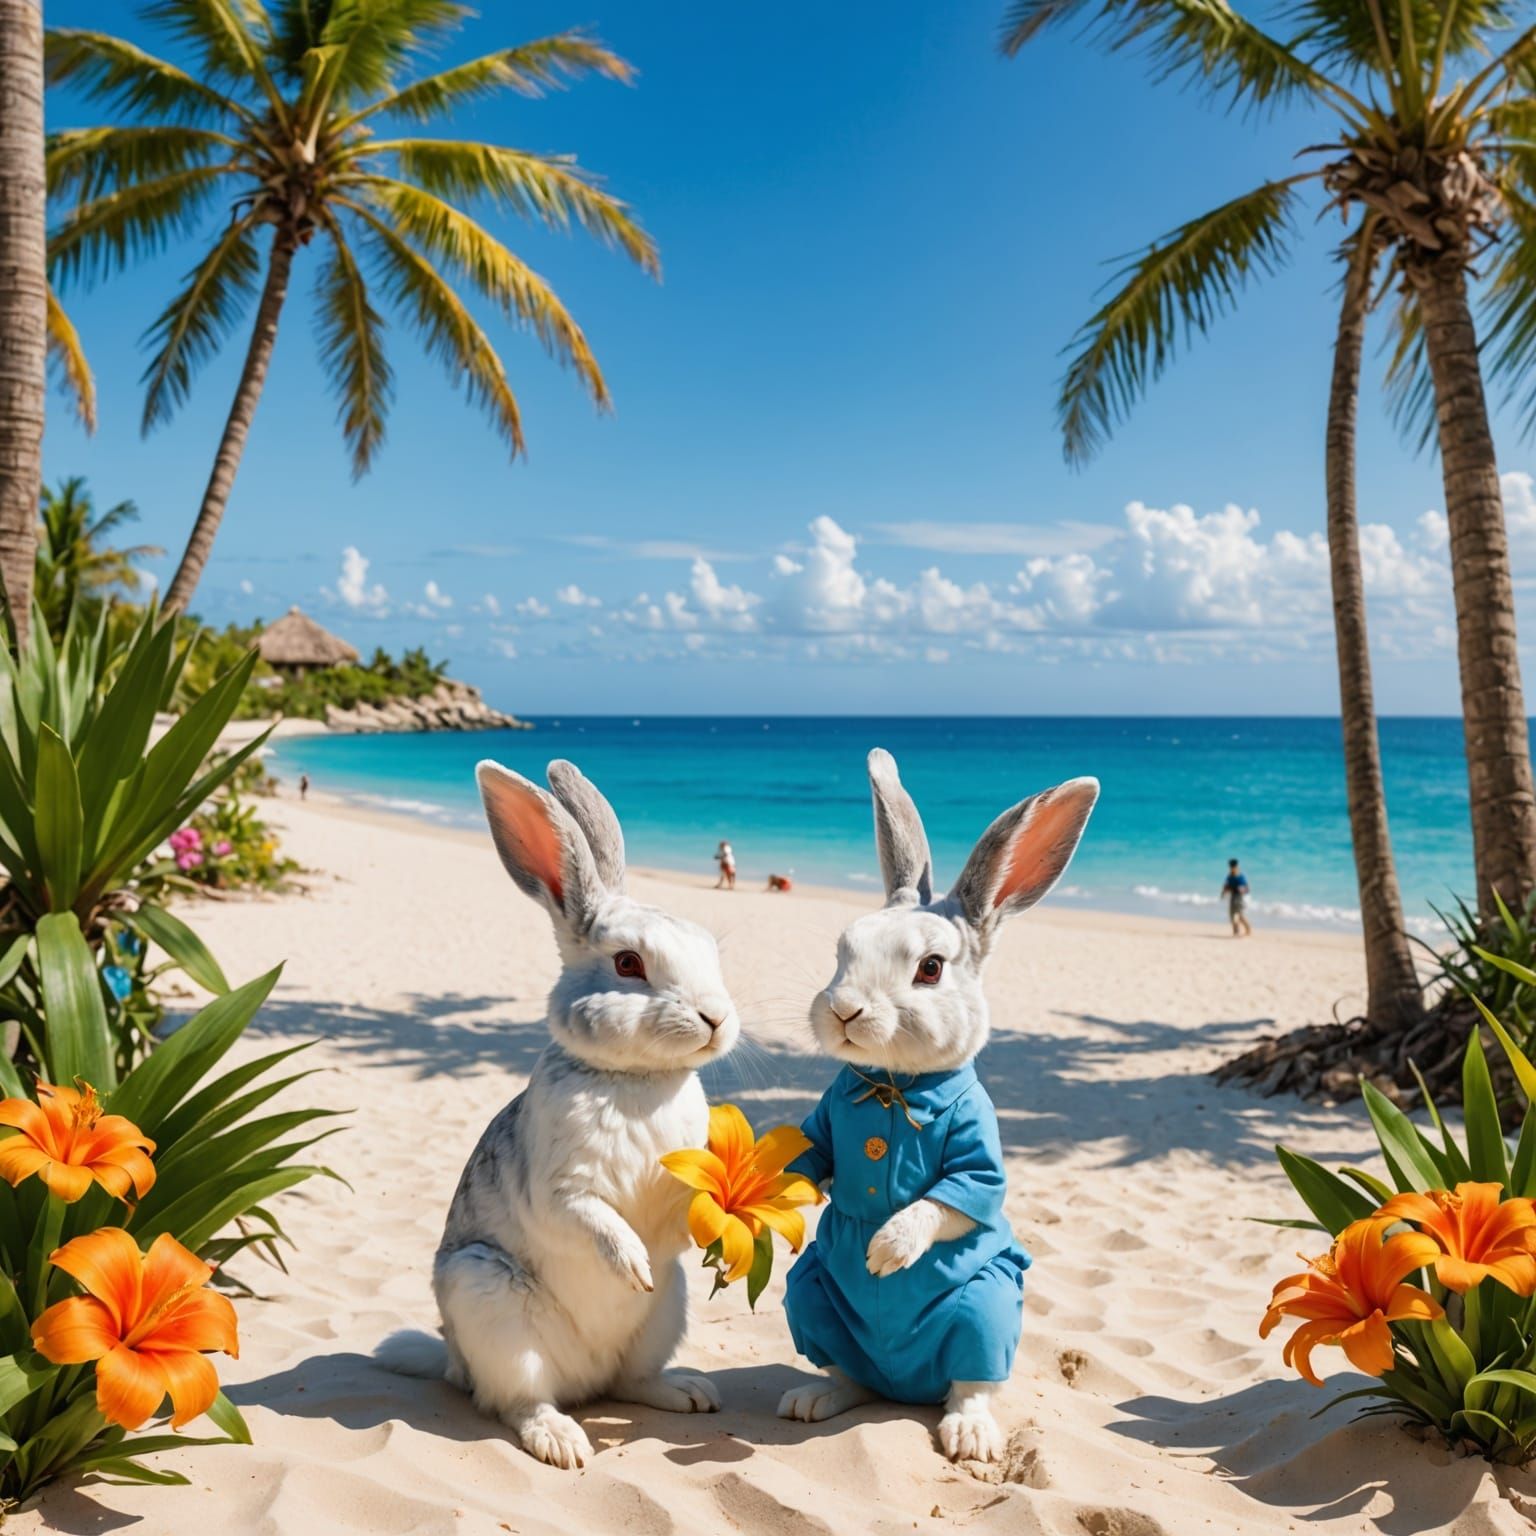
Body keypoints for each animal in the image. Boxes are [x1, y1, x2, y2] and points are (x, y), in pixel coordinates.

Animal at [378, 758, 741, 1470]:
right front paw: (632, 1267)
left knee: (629, 1381)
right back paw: (563, 1442)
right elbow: (593, 1219)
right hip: (491, 1304)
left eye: (711, 951)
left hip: (667, 1314)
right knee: (515, 1401)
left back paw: (689, 1392)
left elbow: (683, 1214)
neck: (635, 1080)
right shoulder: (563, 1188)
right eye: (628, 964)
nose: (715, 1018)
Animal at [777, 748, 1098, 1463]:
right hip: (807, 1297)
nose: (844, 1010)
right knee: (846, 1371)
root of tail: (904, 1388)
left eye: (930, 968)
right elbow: (810, 1154)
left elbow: (949, 1201)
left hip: (987, 1309)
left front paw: (887, 1251)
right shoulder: (827, 1122)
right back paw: (815, 1399)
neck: (895, 1086)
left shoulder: (978, 1161)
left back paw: (970, 1435)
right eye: (841, 951)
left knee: (970, 1380)